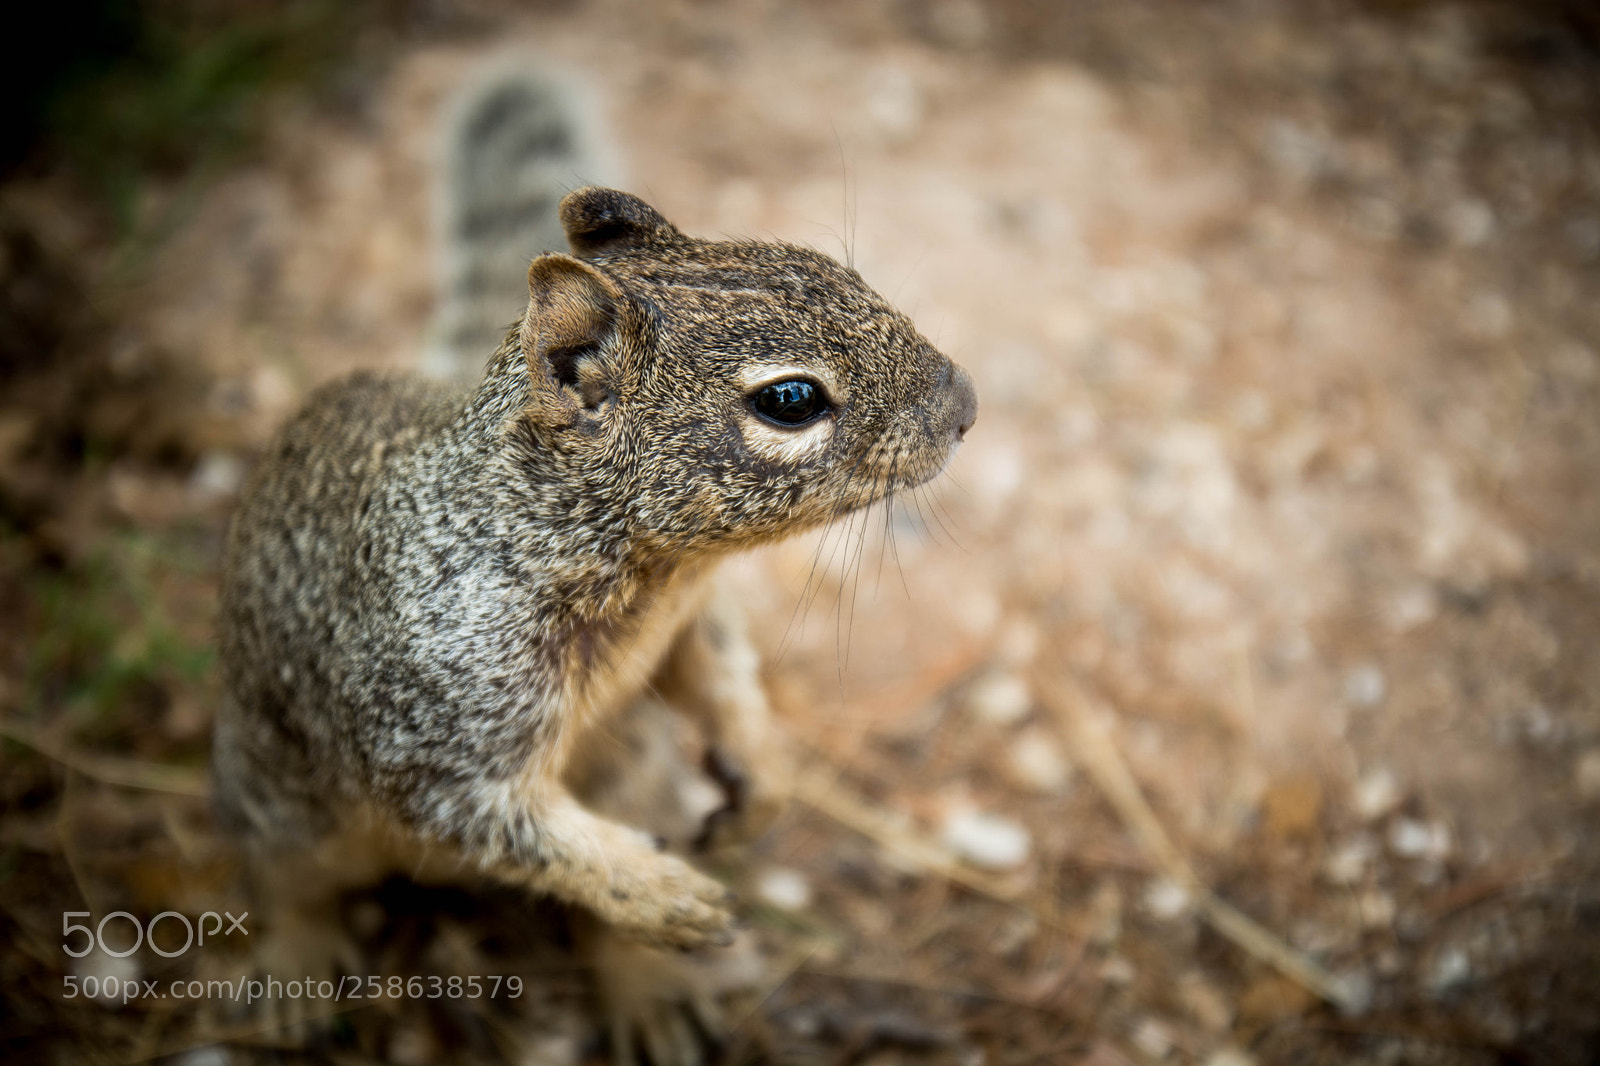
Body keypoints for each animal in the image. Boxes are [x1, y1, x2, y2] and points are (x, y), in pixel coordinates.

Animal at [211, 90, 975, 1051]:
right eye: (790, 400)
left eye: (831, 269)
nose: (965, 403)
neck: (658, 569)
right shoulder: (437, 715)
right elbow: (499, 822)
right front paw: (667, 896)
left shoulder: (690, 626)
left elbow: (724, 682)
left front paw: (761, 784)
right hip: (278, 799)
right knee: (284, 880)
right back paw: (300, 967)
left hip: (635, 770)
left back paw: (651, 993)